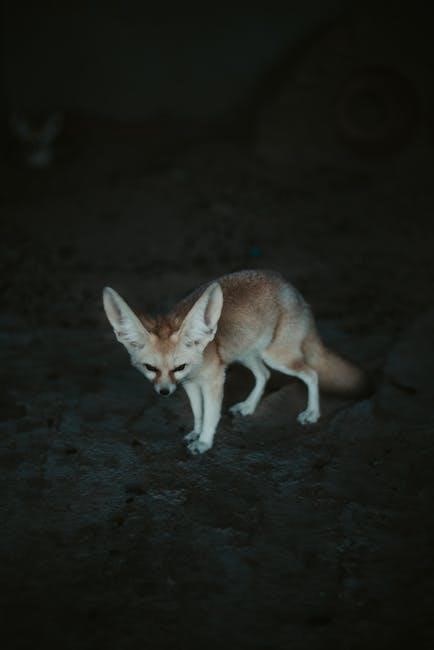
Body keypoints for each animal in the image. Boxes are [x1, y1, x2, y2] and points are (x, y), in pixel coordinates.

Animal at [102, 270, 369, 454]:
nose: (164, 392)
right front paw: (196, 432)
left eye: (179, 367)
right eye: (150, 368)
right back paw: (249, 406)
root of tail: (294, 292)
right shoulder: (190, 384)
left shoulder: (213, 381)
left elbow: (210, 414)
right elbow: (198, 412)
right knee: (264, 375)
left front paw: (205, 441)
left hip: (277, 357)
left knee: (311, 373)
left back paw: (312, 413)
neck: (198, 362)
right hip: (248, 354)